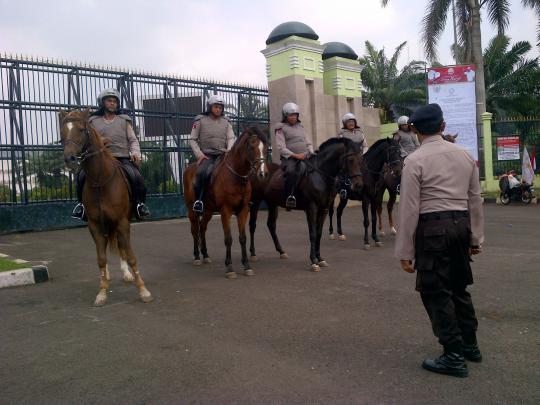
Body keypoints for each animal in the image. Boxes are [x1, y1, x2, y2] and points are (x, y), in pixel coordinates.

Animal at [58, 109, 152, 304]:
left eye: (81, 129)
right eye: (62, 132)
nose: (69, 159)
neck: (100, 180)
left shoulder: (122, 222)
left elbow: (131, 256)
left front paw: (143, 290)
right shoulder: (94, 225)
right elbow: (101, 258)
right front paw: (102, 292)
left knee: (121, 247)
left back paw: (127, 274)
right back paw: (107, 275)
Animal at [185, 128, 268, 280]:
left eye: (265, 148)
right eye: (251, 147)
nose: (263, 174)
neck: (236, 176)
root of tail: (189, 168)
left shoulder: (243, 210)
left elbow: (242, 237)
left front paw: (246, 265)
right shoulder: (226, 210)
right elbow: (228, 238)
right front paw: (229, 267)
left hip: (208, 211)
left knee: (202, 228)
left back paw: (205, 254)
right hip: (191, 210)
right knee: (194, 230)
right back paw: (197, 257)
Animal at [248, 137, 362, 272]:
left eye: (361, 159)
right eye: (350, 160)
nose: (358, 185)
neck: (320, 175)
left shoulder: (323, 209)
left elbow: (318, 233)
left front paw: (320, 259)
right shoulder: (311, 208)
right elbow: (312, 234)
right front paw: (313, 261)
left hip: (272, 203)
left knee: (271, 225)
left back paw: (281, 251)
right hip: (255, 202)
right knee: (252, 225)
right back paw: (253, 254)